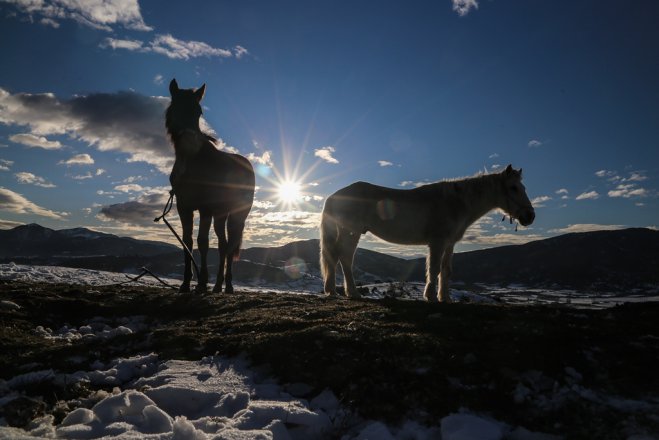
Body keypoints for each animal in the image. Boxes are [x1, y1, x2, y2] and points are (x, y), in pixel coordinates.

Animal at [165, 79, 255, 292]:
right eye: (176, 106)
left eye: (199, 112)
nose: (189, 141)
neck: (193, 162)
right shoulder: (184, 207)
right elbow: (187, 241)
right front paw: (186, 283)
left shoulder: (205, 208)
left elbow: (202, 242)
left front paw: (202, 282)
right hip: (220, 215)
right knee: (223, 245)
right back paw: (218, 285)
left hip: (237, 216)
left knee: (230, 245)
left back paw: (228, 285)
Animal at [320, 165, 536, 302]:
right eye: (513, 188)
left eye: (523, 187)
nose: (530, 216)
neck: (456, 202)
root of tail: (334, 196)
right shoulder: (437, 242)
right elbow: (433, 269)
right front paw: (431, 296)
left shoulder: (449, 243)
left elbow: (446, 270)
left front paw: (445, 298)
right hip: (351, 232)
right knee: (345, 258)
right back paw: (352, 293)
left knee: (335, 258)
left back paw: (332, 291)